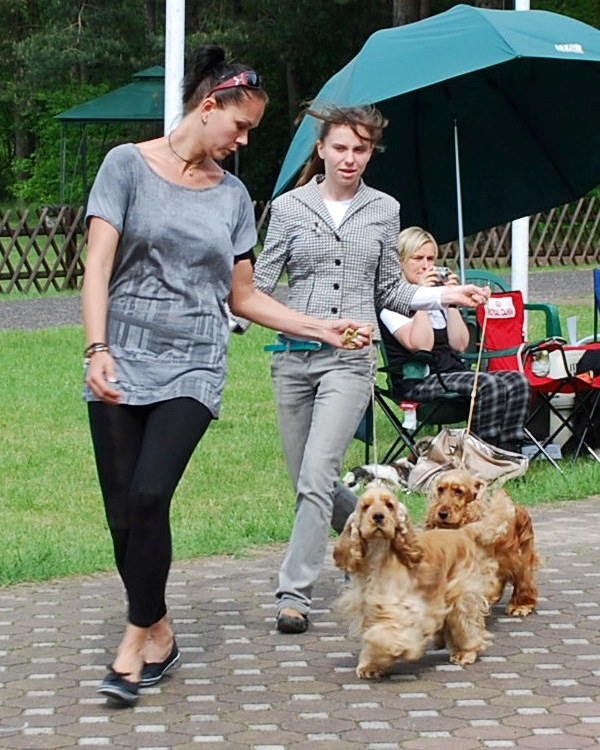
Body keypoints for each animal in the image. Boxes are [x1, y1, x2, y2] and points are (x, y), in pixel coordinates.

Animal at [333, 486, 514, 679]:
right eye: (366, 506)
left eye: (389, 505)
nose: (378, 517)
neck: (378, 555)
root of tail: (463, 532)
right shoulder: (369, 607)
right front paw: (370, 666)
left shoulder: (405, 608)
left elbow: (384, 635)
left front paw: (398, 651)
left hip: (463, 595)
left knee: (468, 624)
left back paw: (465, 653)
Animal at [424, 468, 539, 617]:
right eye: (440, 489)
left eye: (459, 491)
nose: (442, 514)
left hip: (521, 557)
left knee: (525, 582)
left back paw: (521, 606)